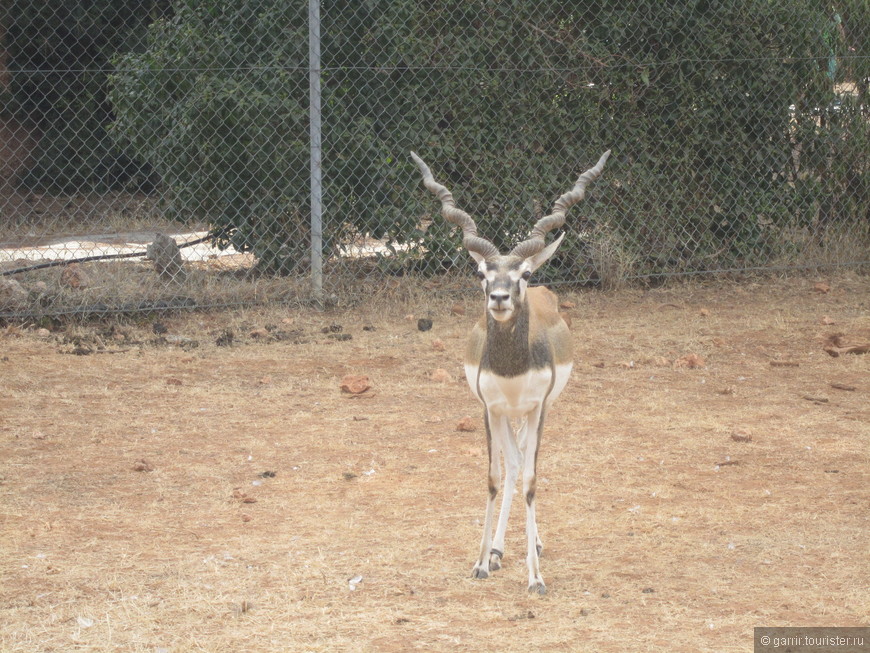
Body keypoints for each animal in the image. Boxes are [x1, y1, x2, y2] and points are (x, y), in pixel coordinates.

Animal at [410, 150, 608, 592]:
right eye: (481, 273)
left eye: (525, 274)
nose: (499, 298)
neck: (513, 369)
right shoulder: (491, 408)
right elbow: (495, 477)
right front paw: (482, 562)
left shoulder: (537, 407)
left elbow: (532, 479)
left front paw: (535, 578)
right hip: (507, 417)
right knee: (514, 464)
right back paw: (501, 550)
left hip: (531, 414)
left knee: (525, 466)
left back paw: (532, 546)